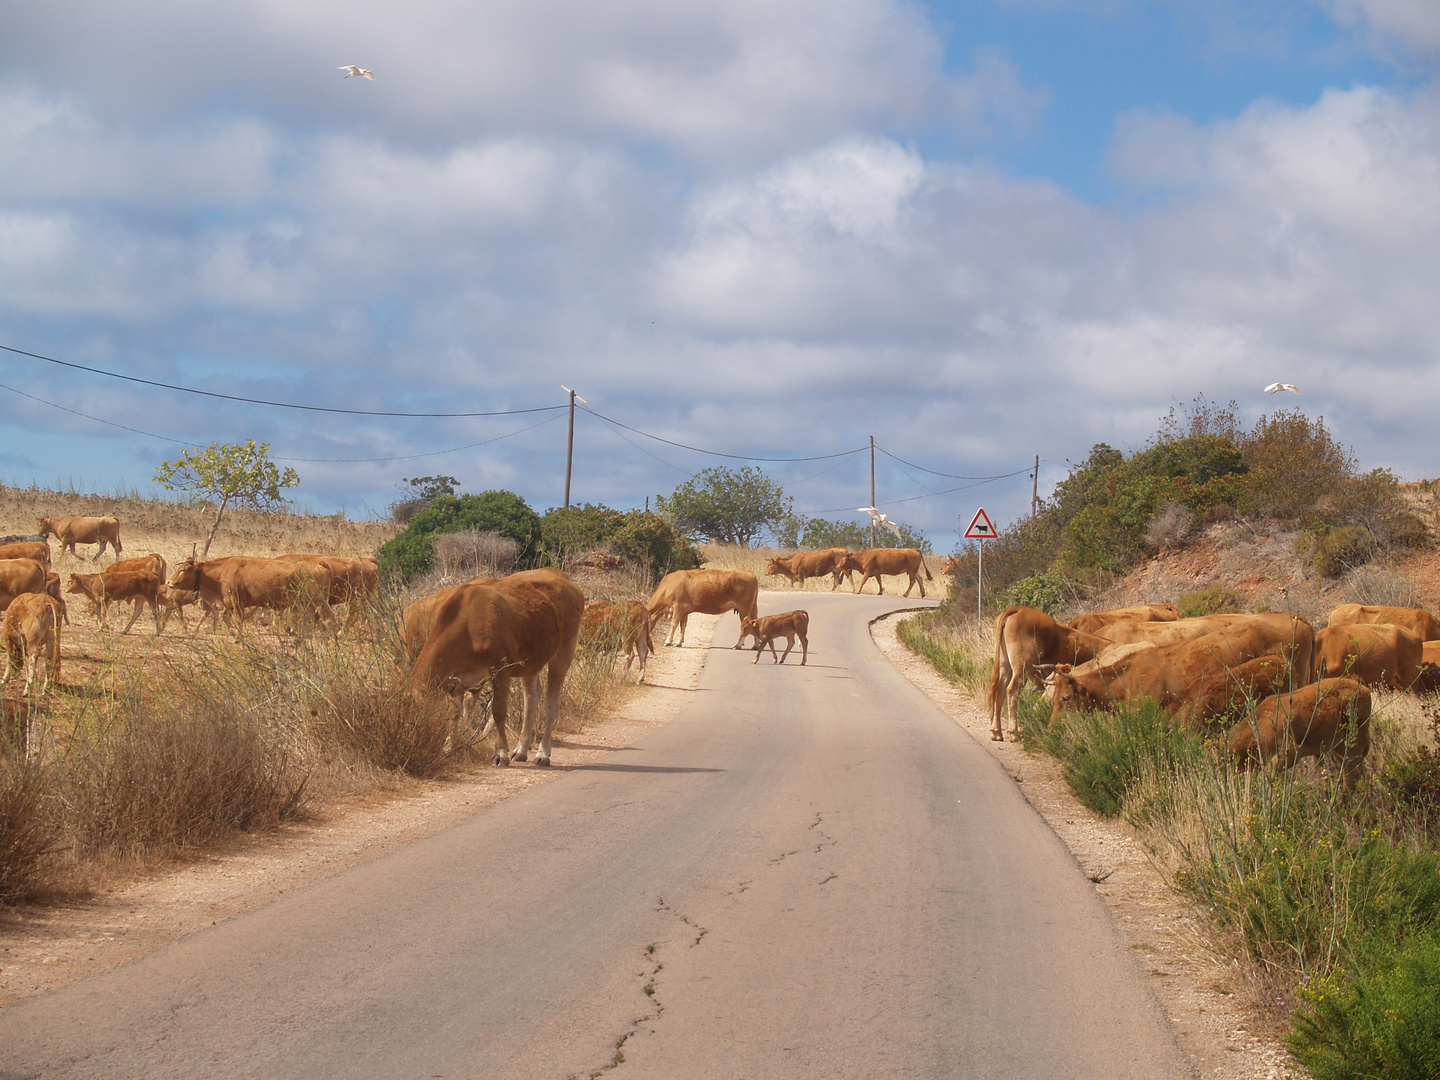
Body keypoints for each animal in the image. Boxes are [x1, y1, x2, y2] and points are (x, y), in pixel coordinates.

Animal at [406, 567, 584, 771]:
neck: (467, 625)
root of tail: (556, 572)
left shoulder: (501, 670)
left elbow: (498, 712)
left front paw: (500, 753)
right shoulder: (456, 680)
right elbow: (455, 714)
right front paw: (449, 748)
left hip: (564, 649)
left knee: (551, 703)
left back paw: (543, 754)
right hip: (530, 661)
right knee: (530, 700)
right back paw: (521, 750)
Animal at [996, 610, 1105, 743]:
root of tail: (1019, 610)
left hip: (1005, 664)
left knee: (999, 689)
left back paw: (997, 732)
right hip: (1020, 668)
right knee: (1012, 690)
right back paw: (1013, 732)